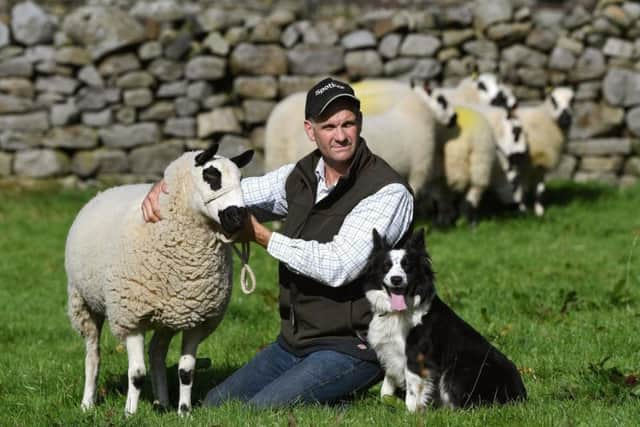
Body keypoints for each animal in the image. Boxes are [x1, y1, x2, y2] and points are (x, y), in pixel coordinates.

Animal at [65, 143, 254, 414]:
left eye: (241, 179)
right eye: (211, 176)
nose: (238, 218)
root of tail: (108, 189)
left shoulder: (197, 319)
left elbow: (186, 371)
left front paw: (184, 412)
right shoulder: (131, 317)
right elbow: (136, 374)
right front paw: (130, 414)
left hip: (169, 316)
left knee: (156, 352)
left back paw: (162, 402)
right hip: (82, 302)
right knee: (93, 354)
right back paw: (87, 403)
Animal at [512, 89, 576, 219]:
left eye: (573, 100)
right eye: (553, 100)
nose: (565, 118)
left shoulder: (541, 163)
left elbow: (540, 190)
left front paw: (539, 211)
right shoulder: (524, 165)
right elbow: (522, 189)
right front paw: (522, 209)